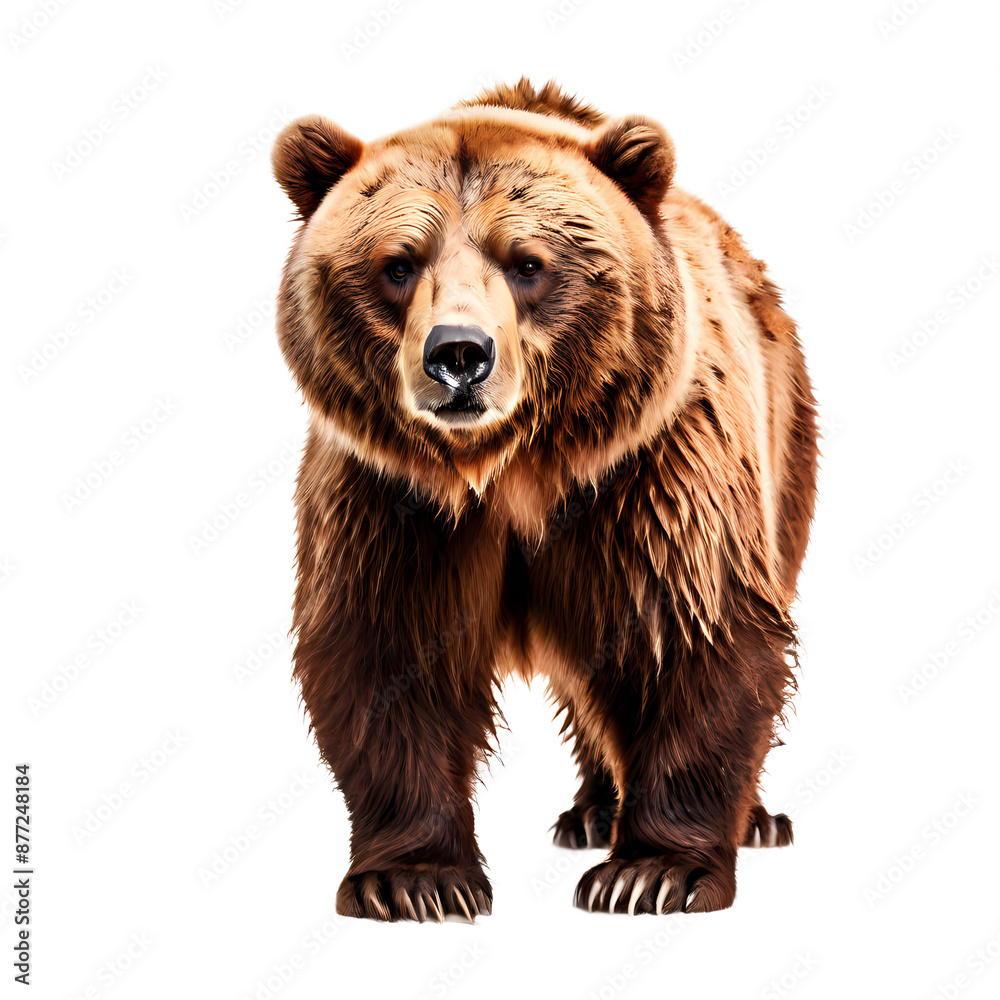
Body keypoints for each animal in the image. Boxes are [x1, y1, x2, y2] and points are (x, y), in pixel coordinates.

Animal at [270, 77, 818, 921]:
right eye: (398, 263)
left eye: (528, 262)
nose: (459, 354)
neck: (508, 468)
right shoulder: (391, 502)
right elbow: (386, 649)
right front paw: (415, 879)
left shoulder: (652, 474)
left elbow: (693, 632)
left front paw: (653, 872)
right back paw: (592, 809)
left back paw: (748, 818)